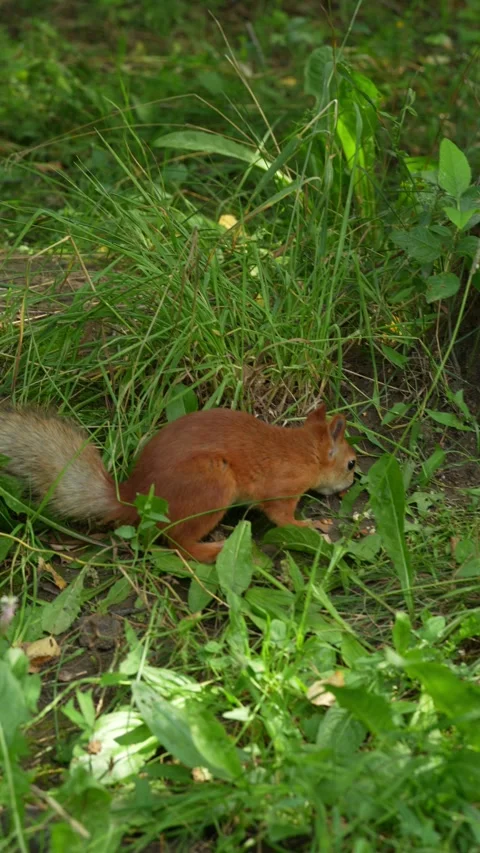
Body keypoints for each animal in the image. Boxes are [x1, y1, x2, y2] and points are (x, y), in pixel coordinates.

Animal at [0, 404, 356, 563]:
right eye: (351, 463)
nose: (352, 482)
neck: (303, 450)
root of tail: (135, 498)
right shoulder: (282, 489)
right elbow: (281, 517)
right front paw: (310, 525)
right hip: (212, 488)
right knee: (179, 543)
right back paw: (215, 548)